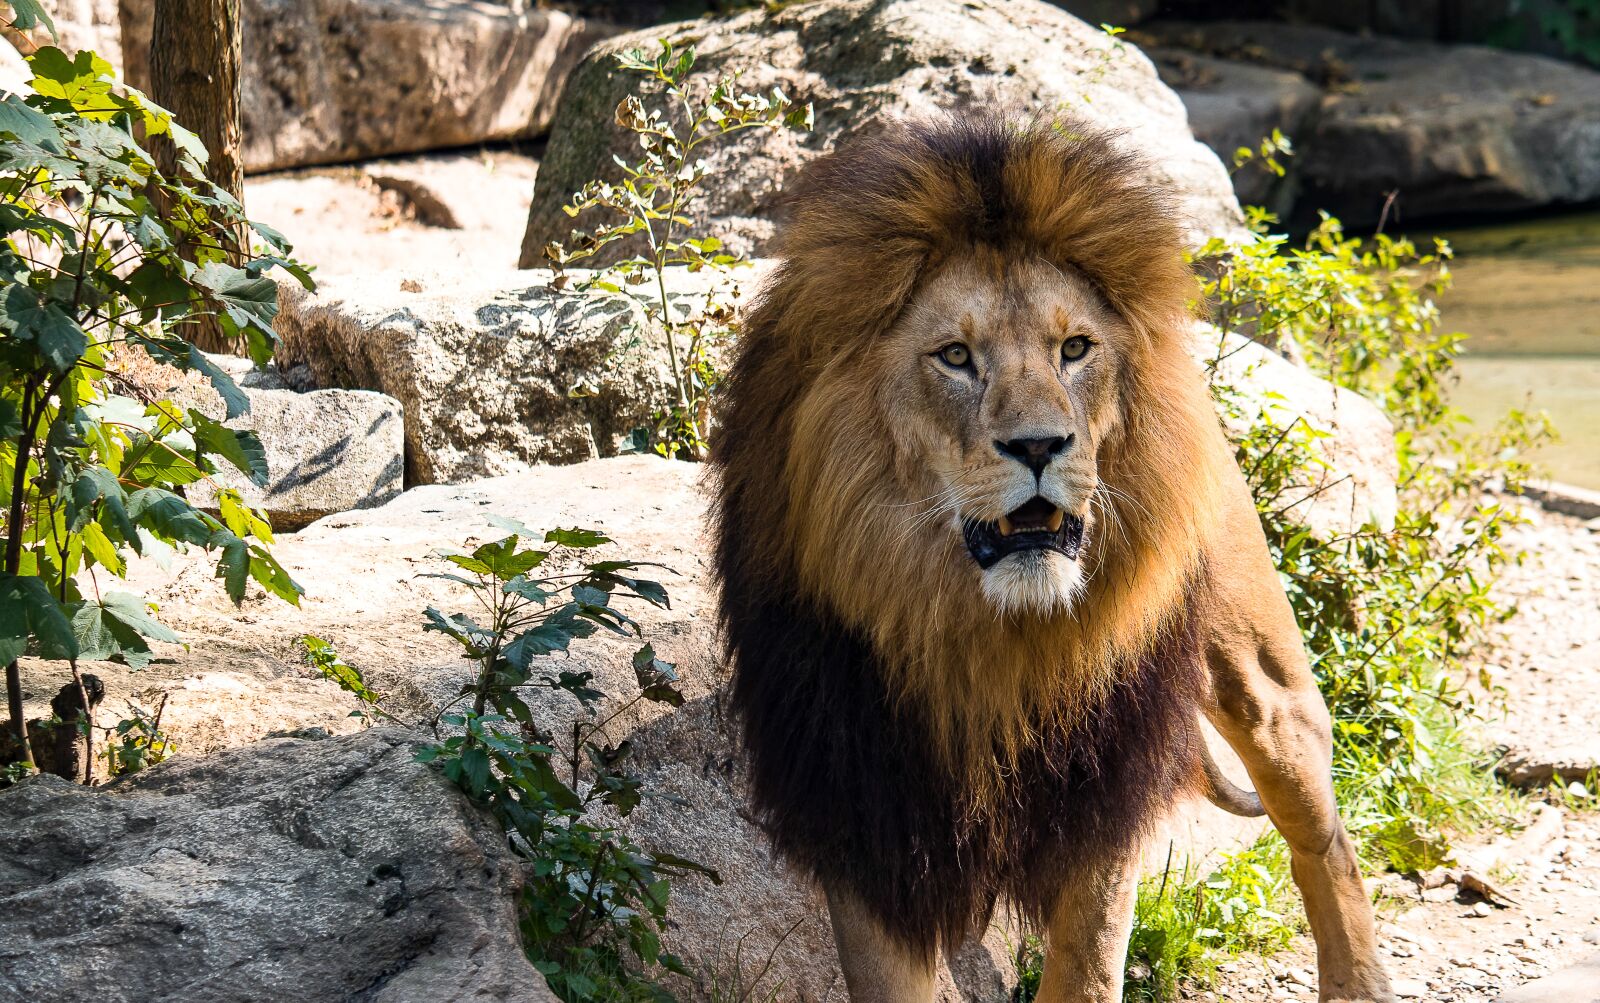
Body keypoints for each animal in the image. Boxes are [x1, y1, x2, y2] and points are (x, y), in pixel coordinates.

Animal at [710, 118, 1393, 1003]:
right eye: (954, 356)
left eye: (1074, 348)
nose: (1039, 445)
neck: (986, 636)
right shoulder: (860, 799)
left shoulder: (1102, 782)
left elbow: (1087, 965)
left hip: (1265, 688)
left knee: (1325, 836)